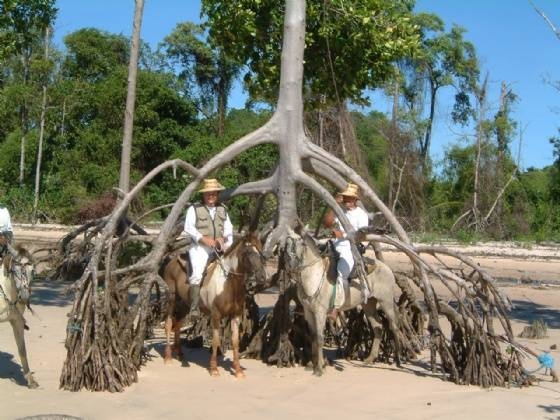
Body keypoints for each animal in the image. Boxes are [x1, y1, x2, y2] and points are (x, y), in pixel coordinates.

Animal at [0, 241, 38, 388]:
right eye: (14, 271)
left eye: (32, 271)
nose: (24, 297)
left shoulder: (17, 321)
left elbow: (22, 350)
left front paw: (30, 380)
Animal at [162, 231, 266, 378]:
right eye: (248, 252)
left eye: (260, 252)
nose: (262, 279)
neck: (228, 283)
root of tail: (172, 261)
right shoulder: (216, 315)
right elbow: (216, 340)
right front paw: (214, 368)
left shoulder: (236, 315)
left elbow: (235, 341)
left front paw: (238, 371)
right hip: (171, 299)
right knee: (169, 323)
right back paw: (168, 357)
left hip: (185, 305)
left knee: (178, 325)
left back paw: (180, 355)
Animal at [282, 231, 400, 376]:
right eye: (286, 244)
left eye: (301, 243)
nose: (290, 266)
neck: (314, 276)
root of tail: (387, 268)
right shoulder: (309, 312)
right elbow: (313, 337)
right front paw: (312, 365)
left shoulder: (320, 312)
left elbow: (319, 339)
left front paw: (319, 369)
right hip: (369, 305)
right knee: (377, 327)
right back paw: (370, 359)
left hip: (386, 302)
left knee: (394, 326)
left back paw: (398, 359)